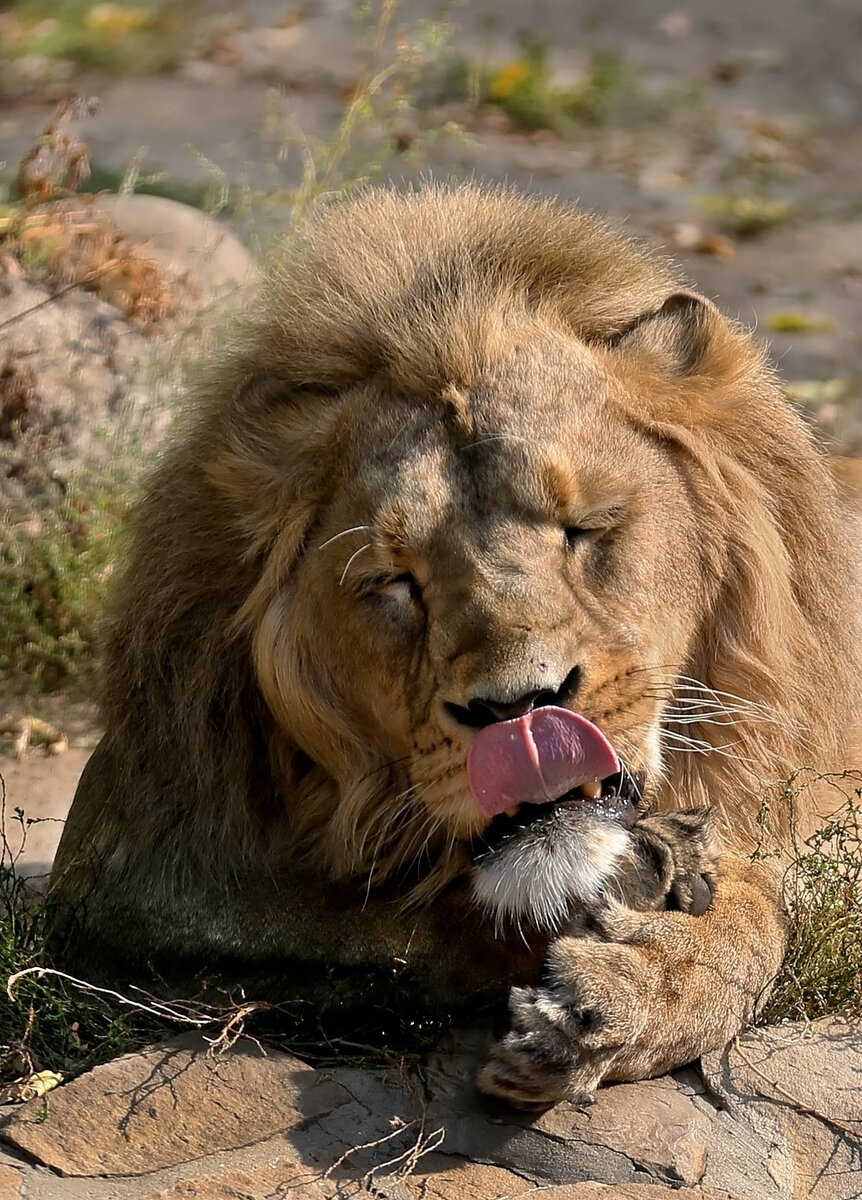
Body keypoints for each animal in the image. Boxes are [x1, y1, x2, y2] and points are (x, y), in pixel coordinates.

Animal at [50, 182, 859, 1108]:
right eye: (394, 581)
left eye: (585, 528)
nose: (520, 710)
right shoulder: (123, 887)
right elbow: (402, 926)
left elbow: (762, 916)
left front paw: (642, 980)